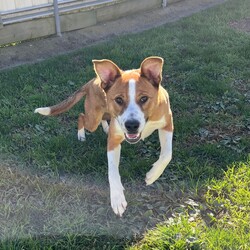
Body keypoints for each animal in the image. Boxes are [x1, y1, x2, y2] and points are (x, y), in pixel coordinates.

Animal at [34, 56, 173, 217]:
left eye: (144, 98)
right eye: (119, 100)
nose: (132, 125)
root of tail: (94, 80)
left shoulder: (167, 124)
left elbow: (167, 154)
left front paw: (152, 175)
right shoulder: (114, 140)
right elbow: (112, 171)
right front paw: (117, 198)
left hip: (104, 113)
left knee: (103, 118)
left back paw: (106, 127)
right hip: (92, 119)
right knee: (81, 116)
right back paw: (81, 135)